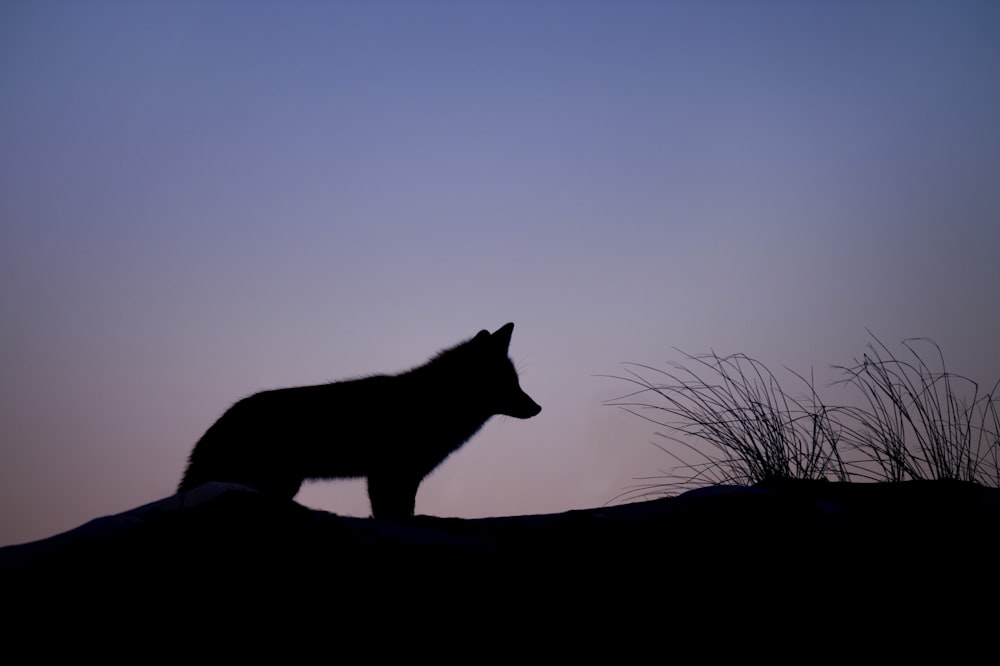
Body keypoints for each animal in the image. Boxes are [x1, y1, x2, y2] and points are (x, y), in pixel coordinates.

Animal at [178, 322, 540, 520]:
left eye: (516, 382)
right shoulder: (390, 474)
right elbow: (392, 514)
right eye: (507, 383)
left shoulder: (402, 476)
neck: (433, 403)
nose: (538, 408)